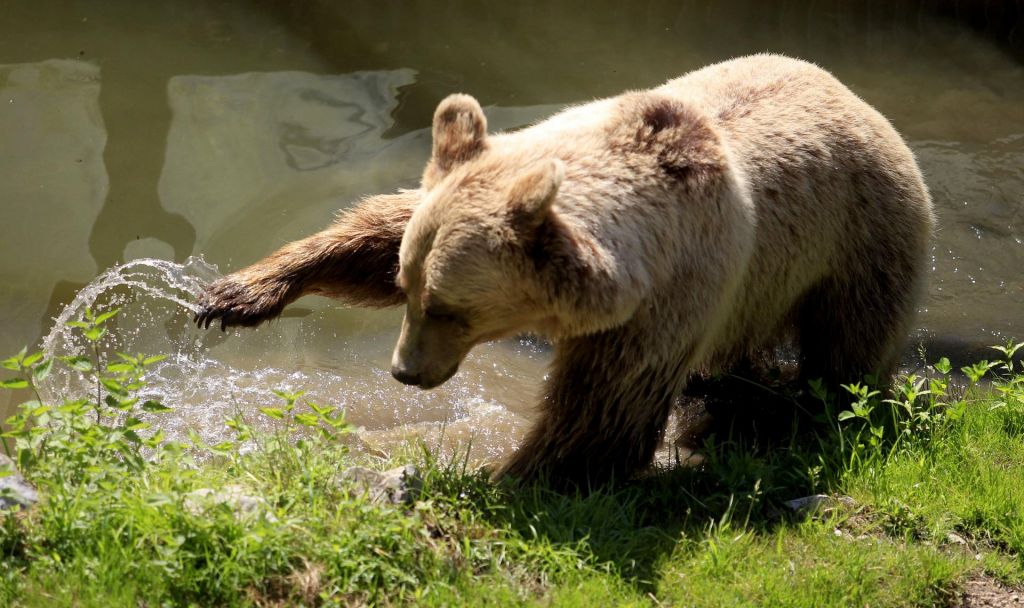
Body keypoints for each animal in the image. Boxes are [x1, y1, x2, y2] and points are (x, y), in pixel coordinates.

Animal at [193, 54, 937, 485]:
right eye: (409, 289)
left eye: (451, 309)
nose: (404, 372)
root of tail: (858, 99)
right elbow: (376, 232)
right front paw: (238, 294)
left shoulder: (665, 298)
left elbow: (599, 417)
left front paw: (491, 474)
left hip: (857, 243)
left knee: (846, 352)